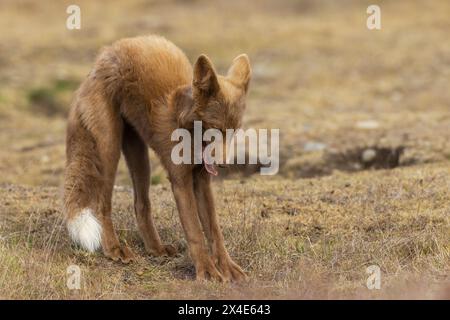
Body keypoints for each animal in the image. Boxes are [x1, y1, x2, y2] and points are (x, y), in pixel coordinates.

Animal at [63, 34, 251, 280]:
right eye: (215, 130)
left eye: (234, 131)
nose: (224, 164)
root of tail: (101, 59)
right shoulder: (180, 180)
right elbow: (195, 232)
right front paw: (207, 271)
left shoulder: (201, 180)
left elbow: (214, 231)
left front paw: (227, 267)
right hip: (109, 151)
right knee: (102, 205)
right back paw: (114, 249)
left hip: (139, 157)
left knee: (141, 205)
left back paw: (155, 248)